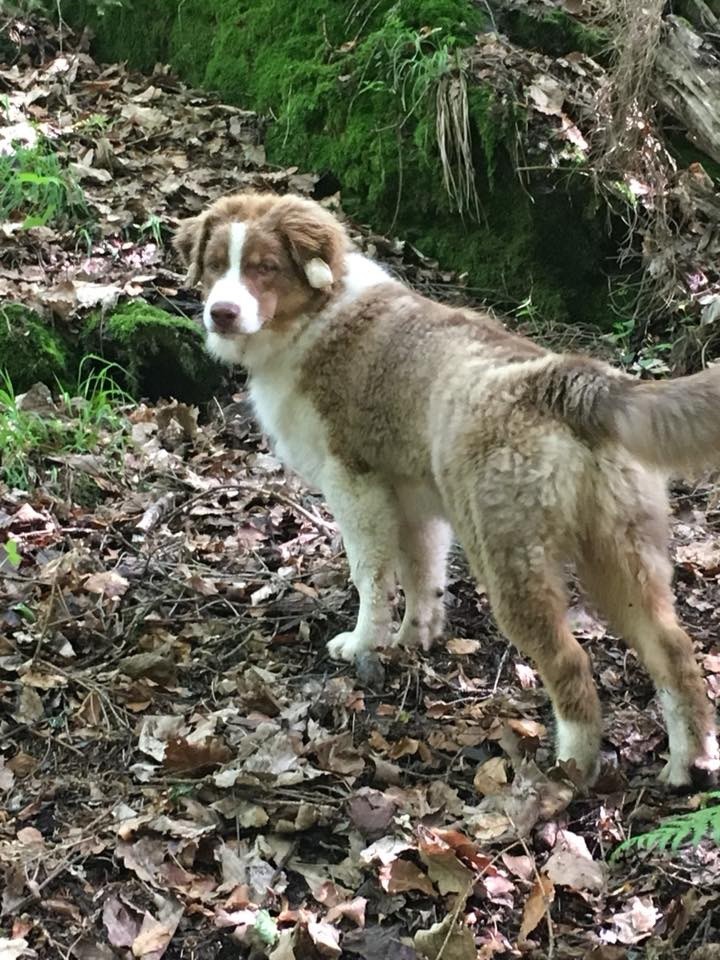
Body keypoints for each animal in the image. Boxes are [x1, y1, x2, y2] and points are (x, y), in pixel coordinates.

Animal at [173, 191, 720, 792]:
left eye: (264, 267)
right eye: (215, 265)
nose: (220, 313)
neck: (320, 313)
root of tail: (569, 381)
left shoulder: (355, 486)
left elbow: (371, 578)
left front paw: (363, 643)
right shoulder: (415, 503)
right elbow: (422, 576)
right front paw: (415, 637)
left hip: (510, 559)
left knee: (569, 662)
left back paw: (568, 769)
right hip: (621, 554)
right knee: (675, 652)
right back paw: (689, 760)